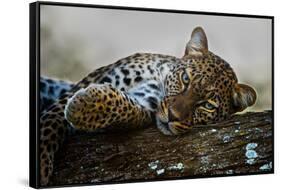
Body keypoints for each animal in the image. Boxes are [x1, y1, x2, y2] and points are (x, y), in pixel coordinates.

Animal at [39, 27, 256, 186]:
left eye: (208, 106)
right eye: (185, 79)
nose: (172, 116)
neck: (158, 79)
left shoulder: (144, 105)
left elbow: (126, 109)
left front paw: (85, 106)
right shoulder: (85, 84)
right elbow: (52, 122)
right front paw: (41, 166)